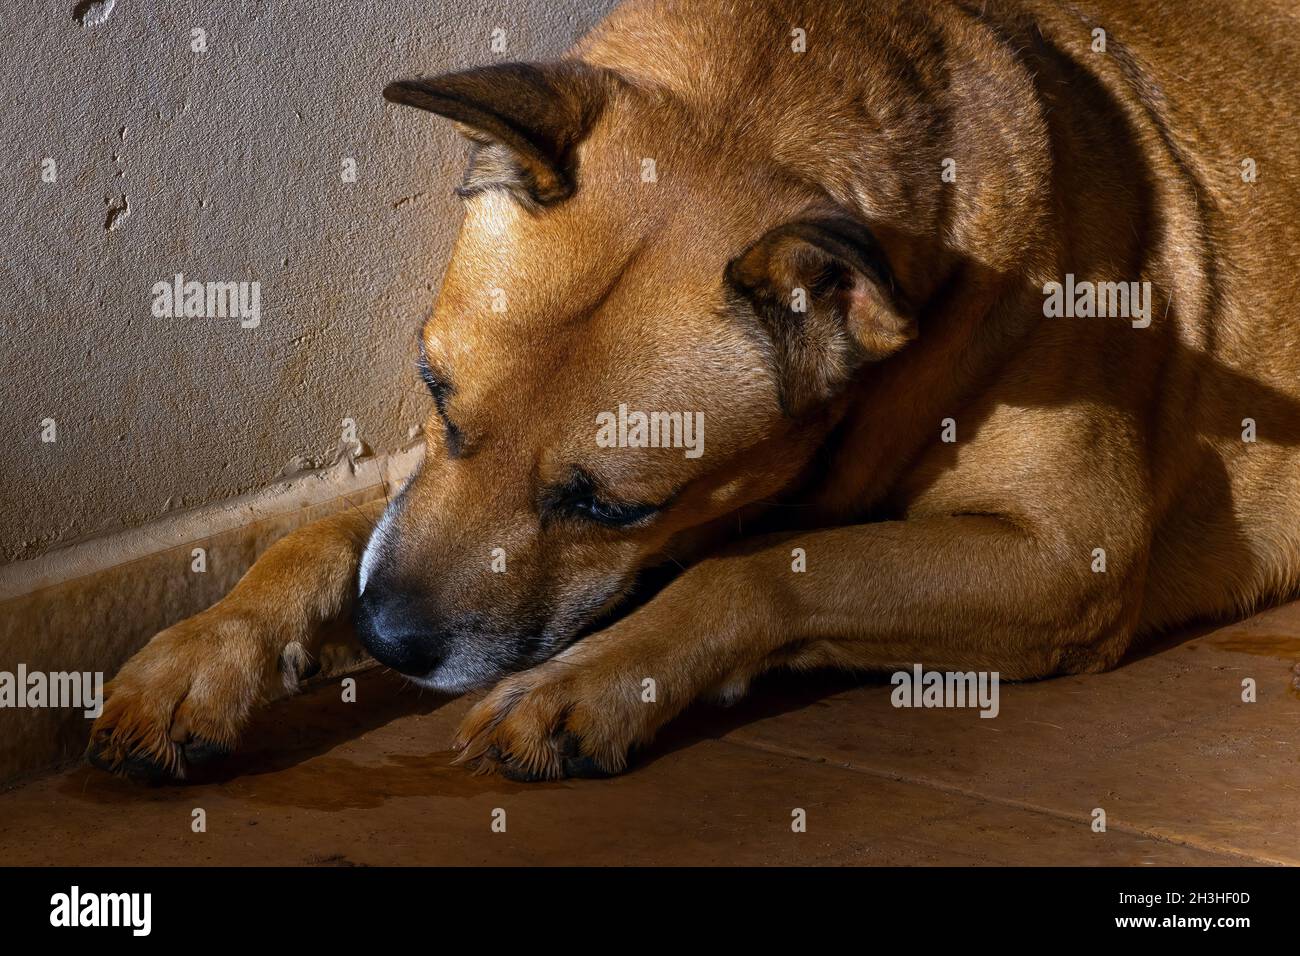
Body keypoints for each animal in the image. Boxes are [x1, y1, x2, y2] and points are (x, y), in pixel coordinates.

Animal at [86, 0, 1300, 780]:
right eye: (434, 395)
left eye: (611, 504)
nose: (387, 640)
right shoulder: (422, 495)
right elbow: (322, 537)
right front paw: (208, 653)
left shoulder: (1063, 556)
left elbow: (767, 572)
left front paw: (592, 680)